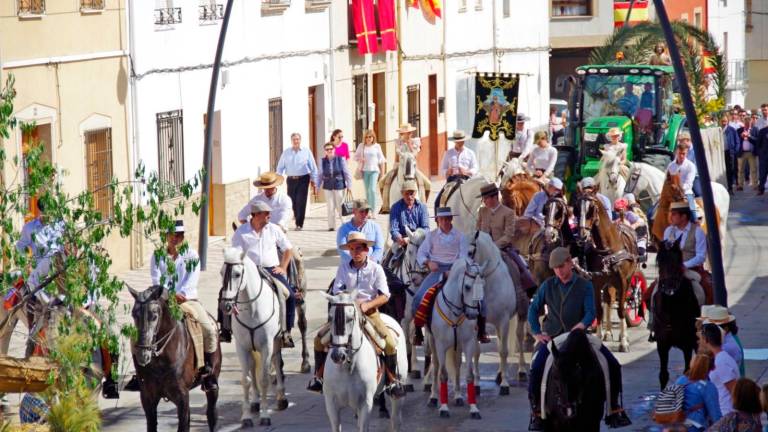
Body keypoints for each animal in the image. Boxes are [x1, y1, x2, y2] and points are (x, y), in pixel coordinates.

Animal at [129, 286, 222, 432]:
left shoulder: (182, 397)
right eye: (134, 314)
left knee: (211, 414)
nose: (142, 354)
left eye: (154, 316)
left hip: (212, 382)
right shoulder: (147, 397)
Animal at [220, 248, 286, 426]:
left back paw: (281, 398)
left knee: (277, 362)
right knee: (252, 366)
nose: (226, 305)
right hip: (251, 347)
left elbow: (264, 379)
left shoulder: (267, 345)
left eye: (237, 274)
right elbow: (246, 380)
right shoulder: (242, 346)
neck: (251, 308)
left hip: (276, 341)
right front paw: (246, 417)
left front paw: (265, 416)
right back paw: (255, 402)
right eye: (221, 272)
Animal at [322, 290, 412, 432]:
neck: (348, 368)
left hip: (398, 390)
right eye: (330, 318)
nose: (338, 356)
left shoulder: (366, 404)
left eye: (350, 318)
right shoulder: (331, 404)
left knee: (396, 420)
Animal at [426, 256, 486, 418]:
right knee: (436, 366)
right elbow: (443, 374)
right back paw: (433, 397)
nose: (473, 314)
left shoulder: (469, 343)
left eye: (483, 286)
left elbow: (469, 374)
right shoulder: (440, 345)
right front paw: (444, 408)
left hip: (457, 346)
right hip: (432, 342)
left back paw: (458, 395)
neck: (455, 311)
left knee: (457, 365)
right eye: (467, 287)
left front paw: (474, 409)